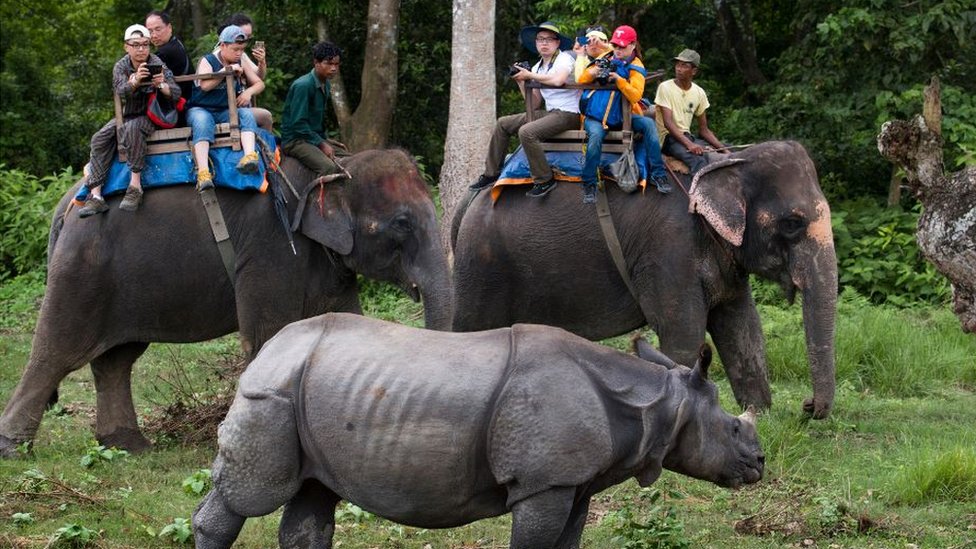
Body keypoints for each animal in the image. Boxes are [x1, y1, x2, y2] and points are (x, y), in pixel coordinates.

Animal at [0, 148, 450, 456]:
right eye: (402, 224)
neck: (334, 164)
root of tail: (65, 204)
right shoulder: (269, 249)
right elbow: (267, 335)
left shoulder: (326, 262)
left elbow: (345, 324)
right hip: (82, 270)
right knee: (56, 351)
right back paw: (15, 449)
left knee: (116, 359)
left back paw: (128, 445)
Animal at [193, 312, 772, 548]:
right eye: (731, 429)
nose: (761, 464)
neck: (655, 405)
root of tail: (267, 349)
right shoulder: (543, 484)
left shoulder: (573, 482)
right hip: (272, 394)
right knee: (252, 495)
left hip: (308, 392)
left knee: (314, 496)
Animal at [452, 139, 840, 418]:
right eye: (792, 224)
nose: (807, 406)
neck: (725, 161)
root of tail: (470, 198)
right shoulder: (668, 248)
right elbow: (683, 334)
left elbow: (743, 328)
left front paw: (758, 416)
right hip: (482, 267)